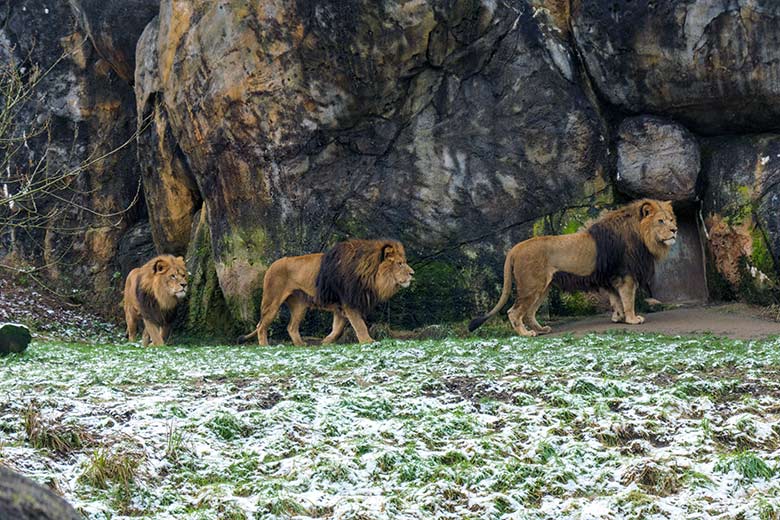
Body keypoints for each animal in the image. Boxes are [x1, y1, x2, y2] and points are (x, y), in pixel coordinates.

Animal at [239, 239, 414, 346]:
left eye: (404, 262)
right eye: (400, 263)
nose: (412, 274)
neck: (370, 274)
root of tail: (271, 265)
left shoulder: (340, 307)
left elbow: (338, 329)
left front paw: (326, 341)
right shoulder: (348, 302)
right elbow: (360, 324)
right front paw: (368, 341)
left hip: (300, 305)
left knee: (291, 327)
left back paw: (301, 345)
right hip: (272, 300)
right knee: (261, 326)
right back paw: (265, 345)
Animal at [470, 199, 676, 338]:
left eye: (672, 219)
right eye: (660, 221)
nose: (675, 230)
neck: (641, 235)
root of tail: (515, 248)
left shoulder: (611, 277)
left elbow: (616, 300)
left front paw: (618, 318)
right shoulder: (626, 275)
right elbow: (627, 300)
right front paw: (632, 319)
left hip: (542, 288)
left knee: (528, 313)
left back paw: (541, 329)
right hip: (531, 287)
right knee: (514, 312)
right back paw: (526, 334)